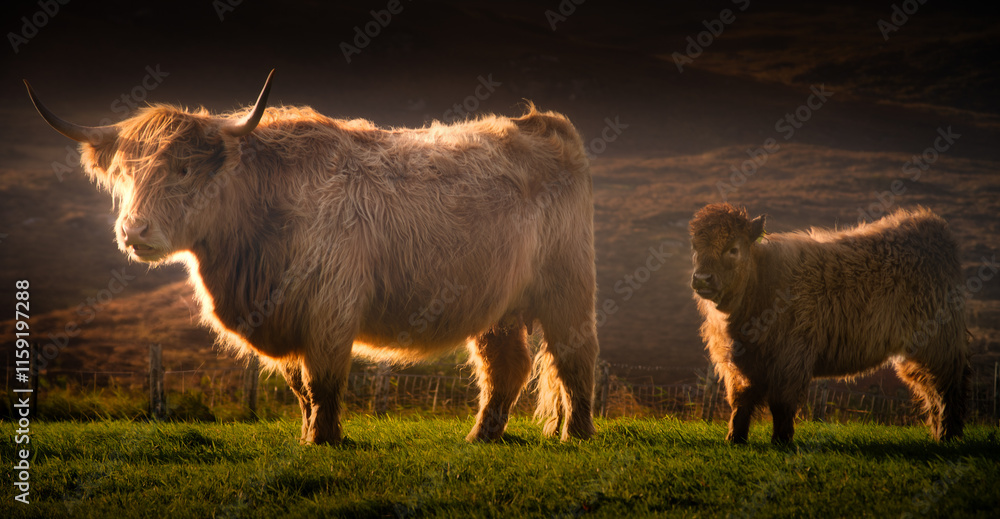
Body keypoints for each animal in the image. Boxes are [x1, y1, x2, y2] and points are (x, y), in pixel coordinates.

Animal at [25, 70, 599, 444]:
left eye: (184, 169)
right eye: (124, 172)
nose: (133, 231)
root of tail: (538, 122)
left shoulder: (329, 310)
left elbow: (323, 382)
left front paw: (325, 440)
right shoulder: (285, 318)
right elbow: (300, 388)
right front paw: (306, 437)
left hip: (568, 288)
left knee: (574, 358)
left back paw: (577, 433)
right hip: (497, 305)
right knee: (507, 366)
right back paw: (482, 435)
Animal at [689, 203, 970, 444]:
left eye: (733, 249)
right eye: (695, 248)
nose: (702, 278)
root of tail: (928, 224)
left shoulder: (790, 358)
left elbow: (782, 404)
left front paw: (781, 441)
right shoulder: (738, 364)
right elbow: (741, 402)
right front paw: (735, 438)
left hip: (938, 343)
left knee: (946, 386)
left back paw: (949, 435)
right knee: (928, 386)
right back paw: (938, 433)